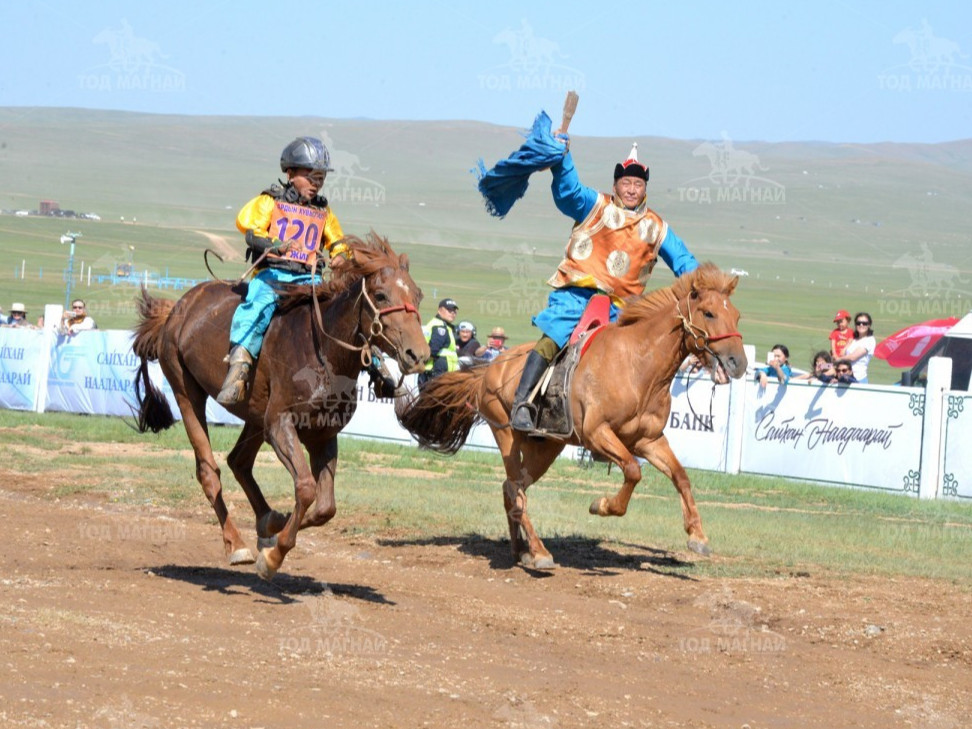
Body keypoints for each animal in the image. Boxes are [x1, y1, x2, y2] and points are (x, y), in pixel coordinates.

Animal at [131, 233, 428, 580]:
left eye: (417, 295)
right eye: (380, 295)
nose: (417, 354)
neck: (322, 351)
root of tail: (176, 309)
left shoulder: (322, 435)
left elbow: (325, 507)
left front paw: (276, 531)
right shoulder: (280, 424)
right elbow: (306, 488)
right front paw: (273, 556)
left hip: (255, 415)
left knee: (239, 462)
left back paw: (266, 520)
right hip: (187, 391)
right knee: (209, 471)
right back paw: (237, 544)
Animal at [398, 264, 748, 568]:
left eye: (736, 315)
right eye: (709, 313)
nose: (739, 363)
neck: (637, 364)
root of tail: (489, 370)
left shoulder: (648, 440)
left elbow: (680, 476)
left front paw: (697, 535)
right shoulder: (597, 434)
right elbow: (633, 471)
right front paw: (602, 505)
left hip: (546, 447)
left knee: (513, 489)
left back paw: (520, 550)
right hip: (509, 435)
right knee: (515, 489)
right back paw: (539, 553)